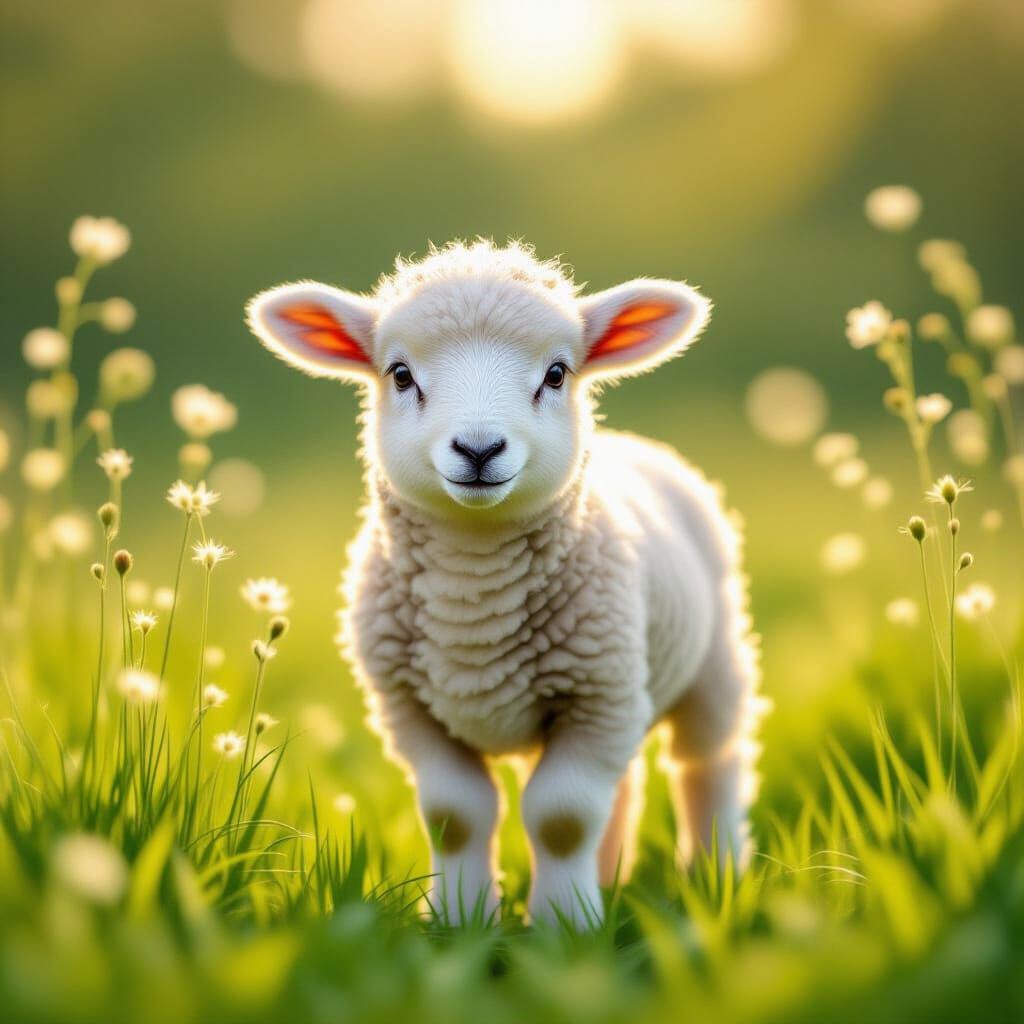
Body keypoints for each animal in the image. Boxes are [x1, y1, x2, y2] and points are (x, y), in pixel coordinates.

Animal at [246, 240, 764, 927]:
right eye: (400, 375)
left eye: (557, 374)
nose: (479, 448)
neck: (474, 593)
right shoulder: (409, 708)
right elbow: (456, 814)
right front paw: (461, 920)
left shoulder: (596, 696)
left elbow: (562, 818)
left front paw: (565, 927)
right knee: (627, 785)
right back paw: (612, 877)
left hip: (712, 663)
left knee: (707, 762)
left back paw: (715, 875)